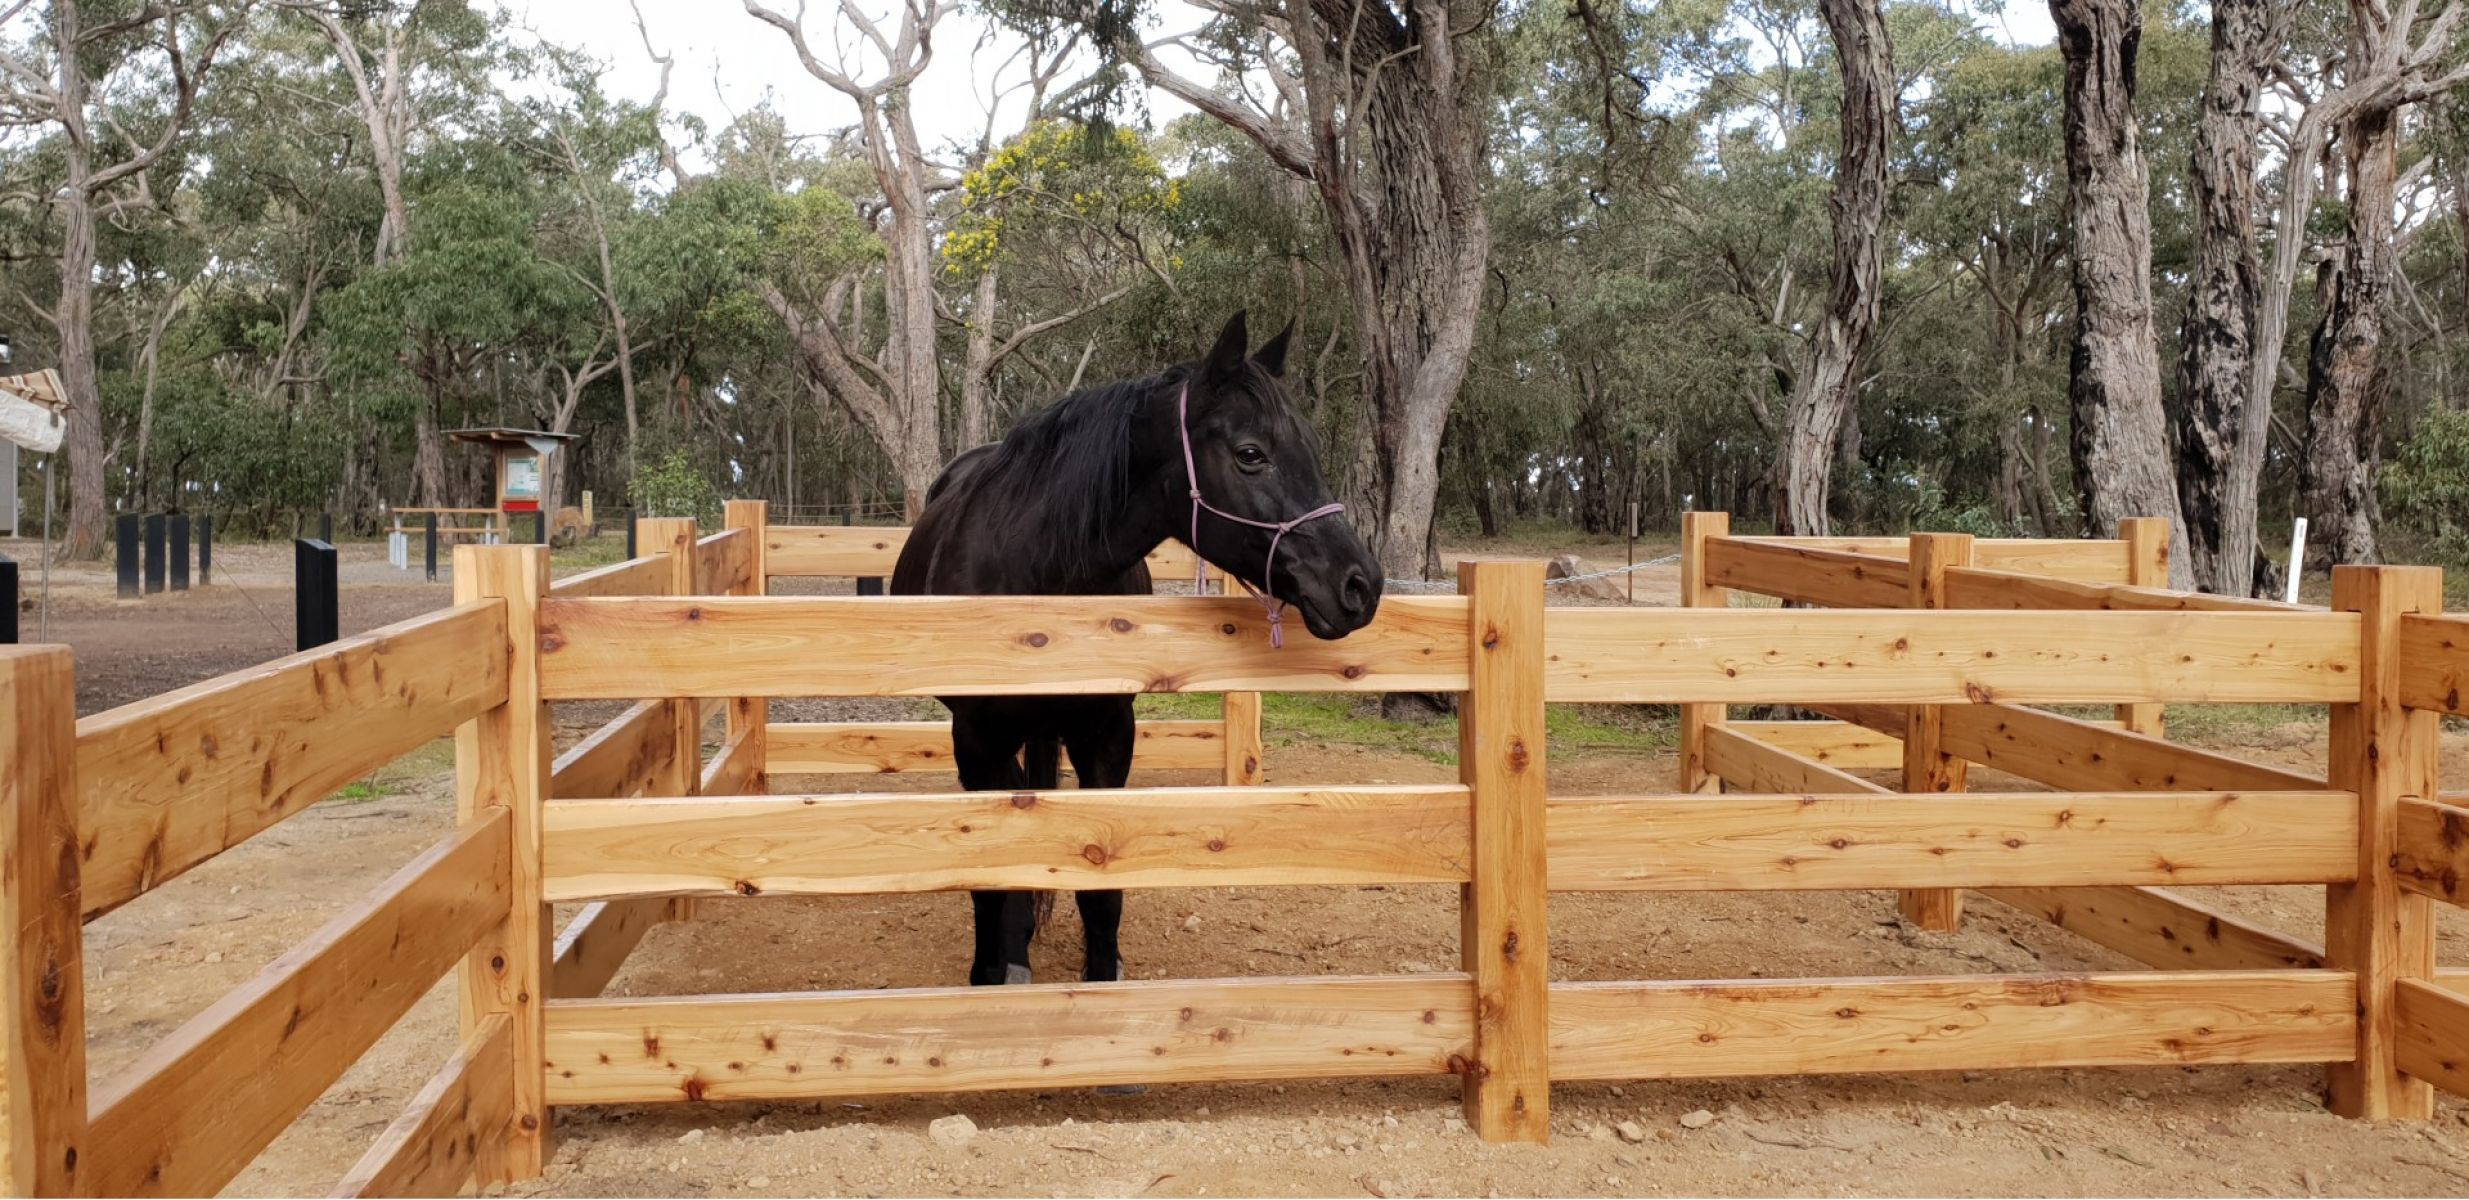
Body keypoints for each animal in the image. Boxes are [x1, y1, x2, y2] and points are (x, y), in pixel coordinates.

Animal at [893, 309, 1392, 982]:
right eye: (1251, 454)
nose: (1360, 584)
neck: (1035, 572)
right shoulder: (974, 740)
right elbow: (991, 880)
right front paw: (990, 972)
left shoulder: (1107, 734)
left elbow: (1101, 889)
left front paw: (1103, 975)